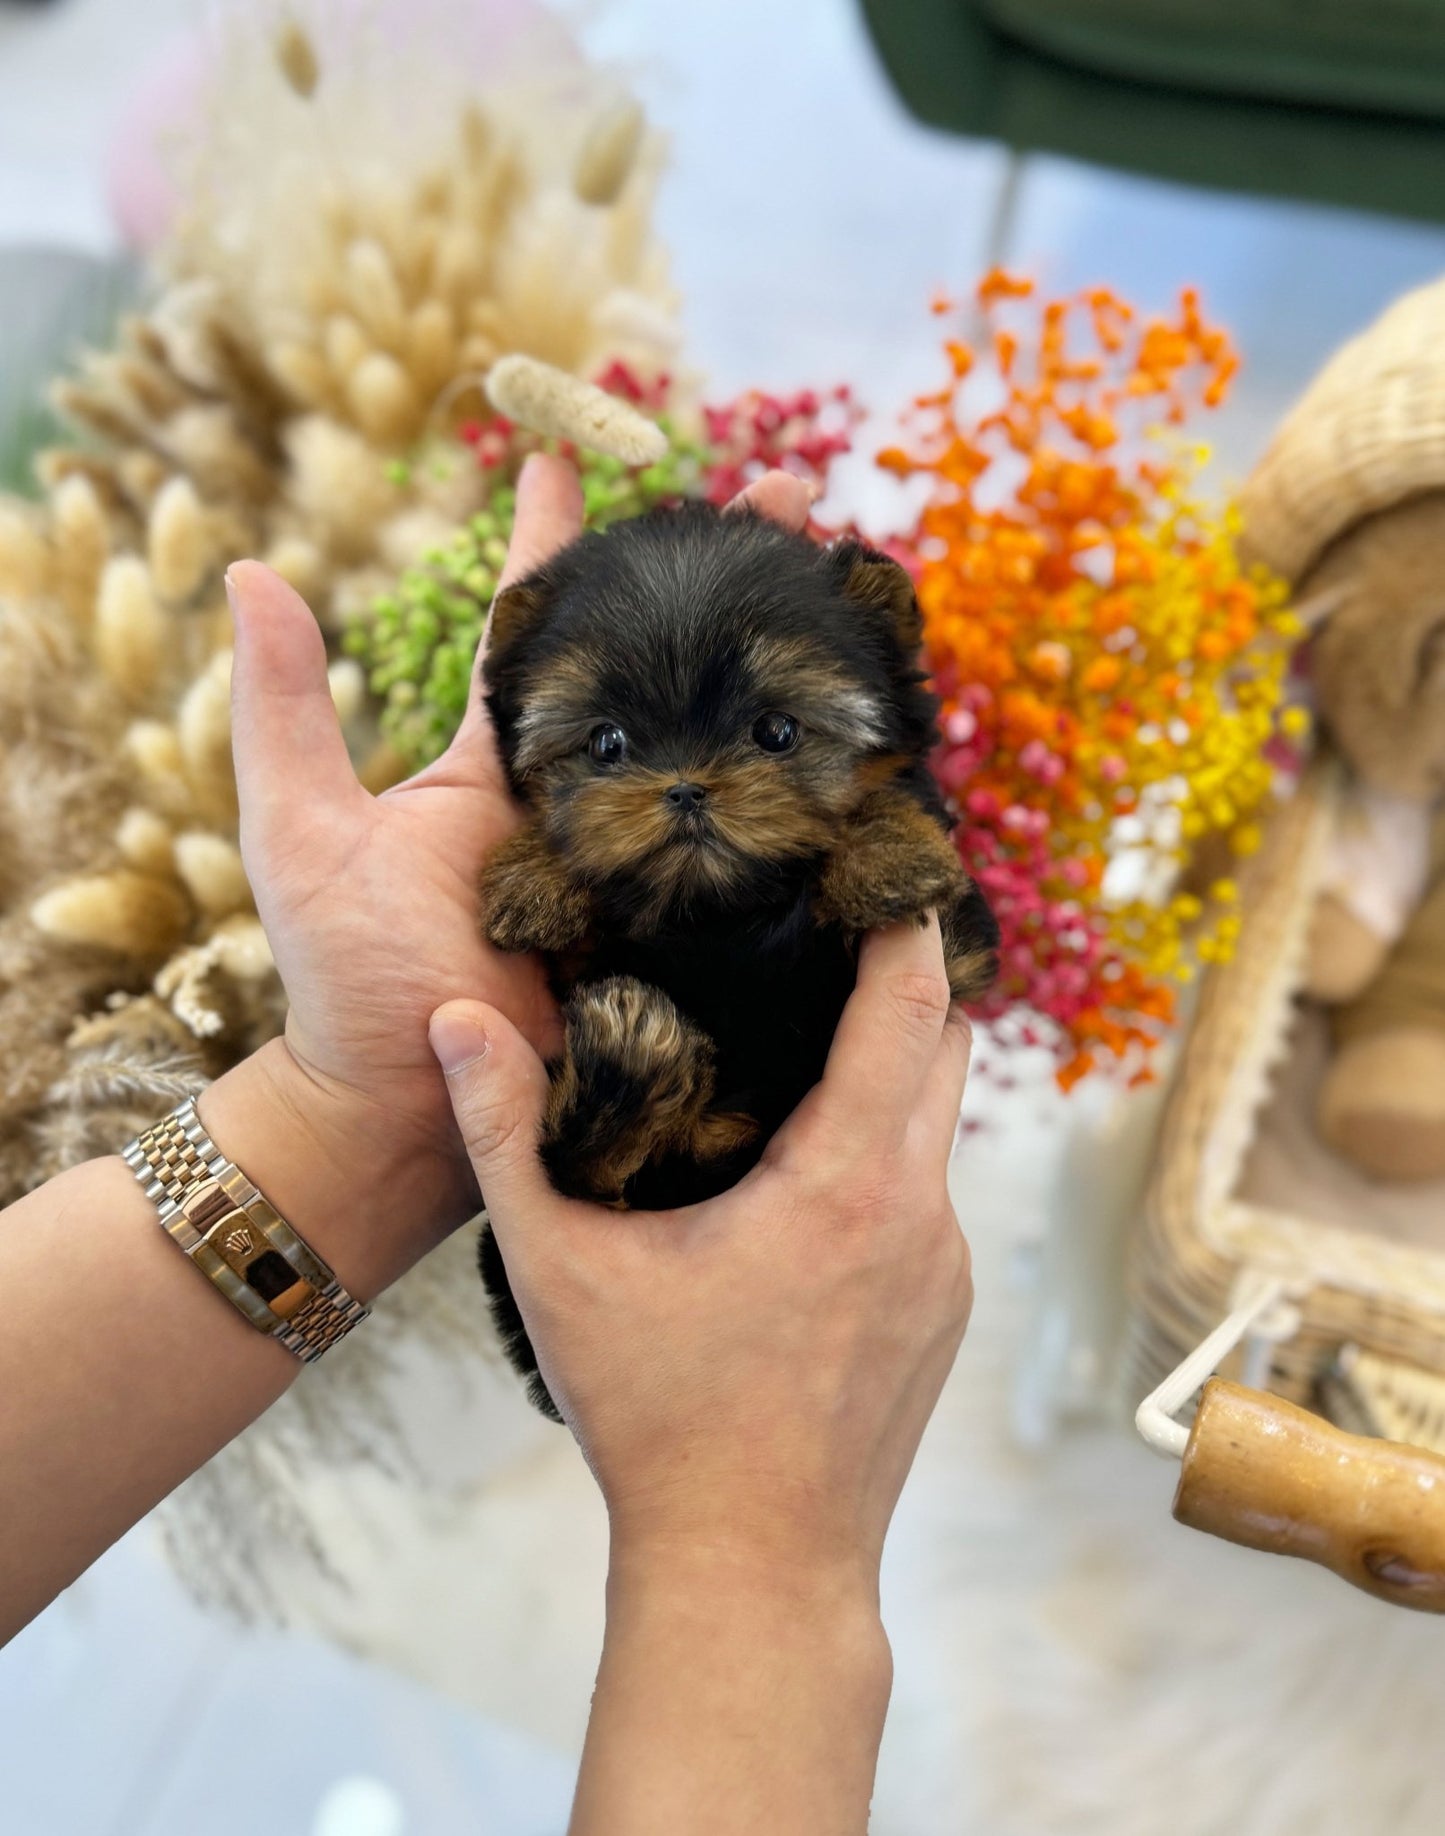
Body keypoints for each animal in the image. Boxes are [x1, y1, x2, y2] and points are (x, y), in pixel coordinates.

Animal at [481, 495, 998, 1410]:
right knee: (587, 1176)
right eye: (607, 744)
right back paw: (628, 1062)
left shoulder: (960, 951)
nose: (686, 787)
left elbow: (904, 847)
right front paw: (534, 874)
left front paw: (888, 854)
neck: (722, 918)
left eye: (777, 731)